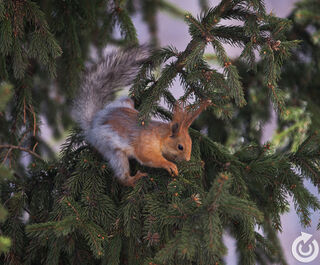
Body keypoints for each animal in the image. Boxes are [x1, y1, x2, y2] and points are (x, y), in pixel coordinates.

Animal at [74, 45, 211, 186]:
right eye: (180, 147)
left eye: (190, 143)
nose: (187, 159)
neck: (160, 135)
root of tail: (94, 122)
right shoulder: (145, 143)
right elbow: (148, 157)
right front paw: (169, 164)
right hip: (111, 149)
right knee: (121, 175)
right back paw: (133, 179)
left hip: (125, 102)